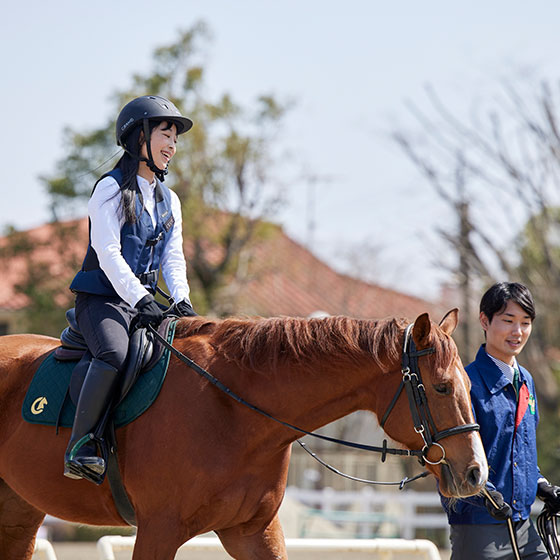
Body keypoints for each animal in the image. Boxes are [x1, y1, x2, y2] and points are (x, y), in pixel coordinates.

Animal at [0, 308, 486, 556]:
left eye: (468, 384)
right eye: (442, 387)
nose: (477, 473)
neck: (233, 410)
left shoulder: (253, 532)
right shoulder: (159, 530)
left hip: (19, 515)